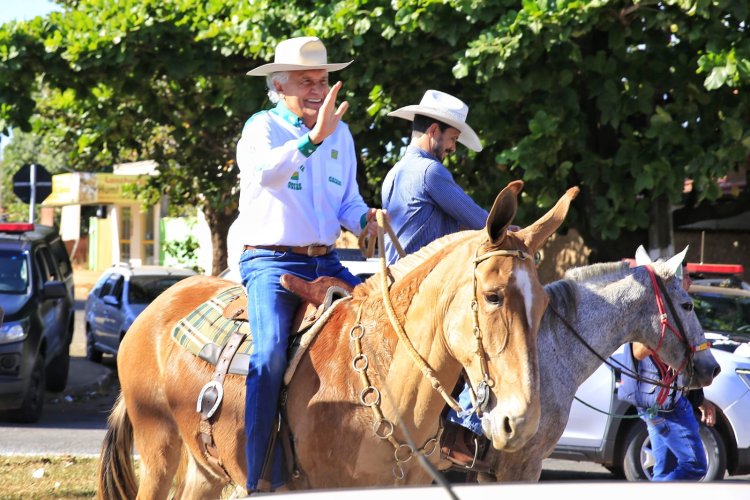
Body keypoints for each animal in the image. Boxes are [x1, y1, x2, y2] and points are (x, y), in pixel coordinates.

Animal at [97, 182, 580, 498]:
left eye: (543, 306)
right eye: (493, 296)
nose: (521, 422)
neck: (388, 388)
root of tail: (156, 308)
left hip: (205, 469)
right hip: (158, 449)